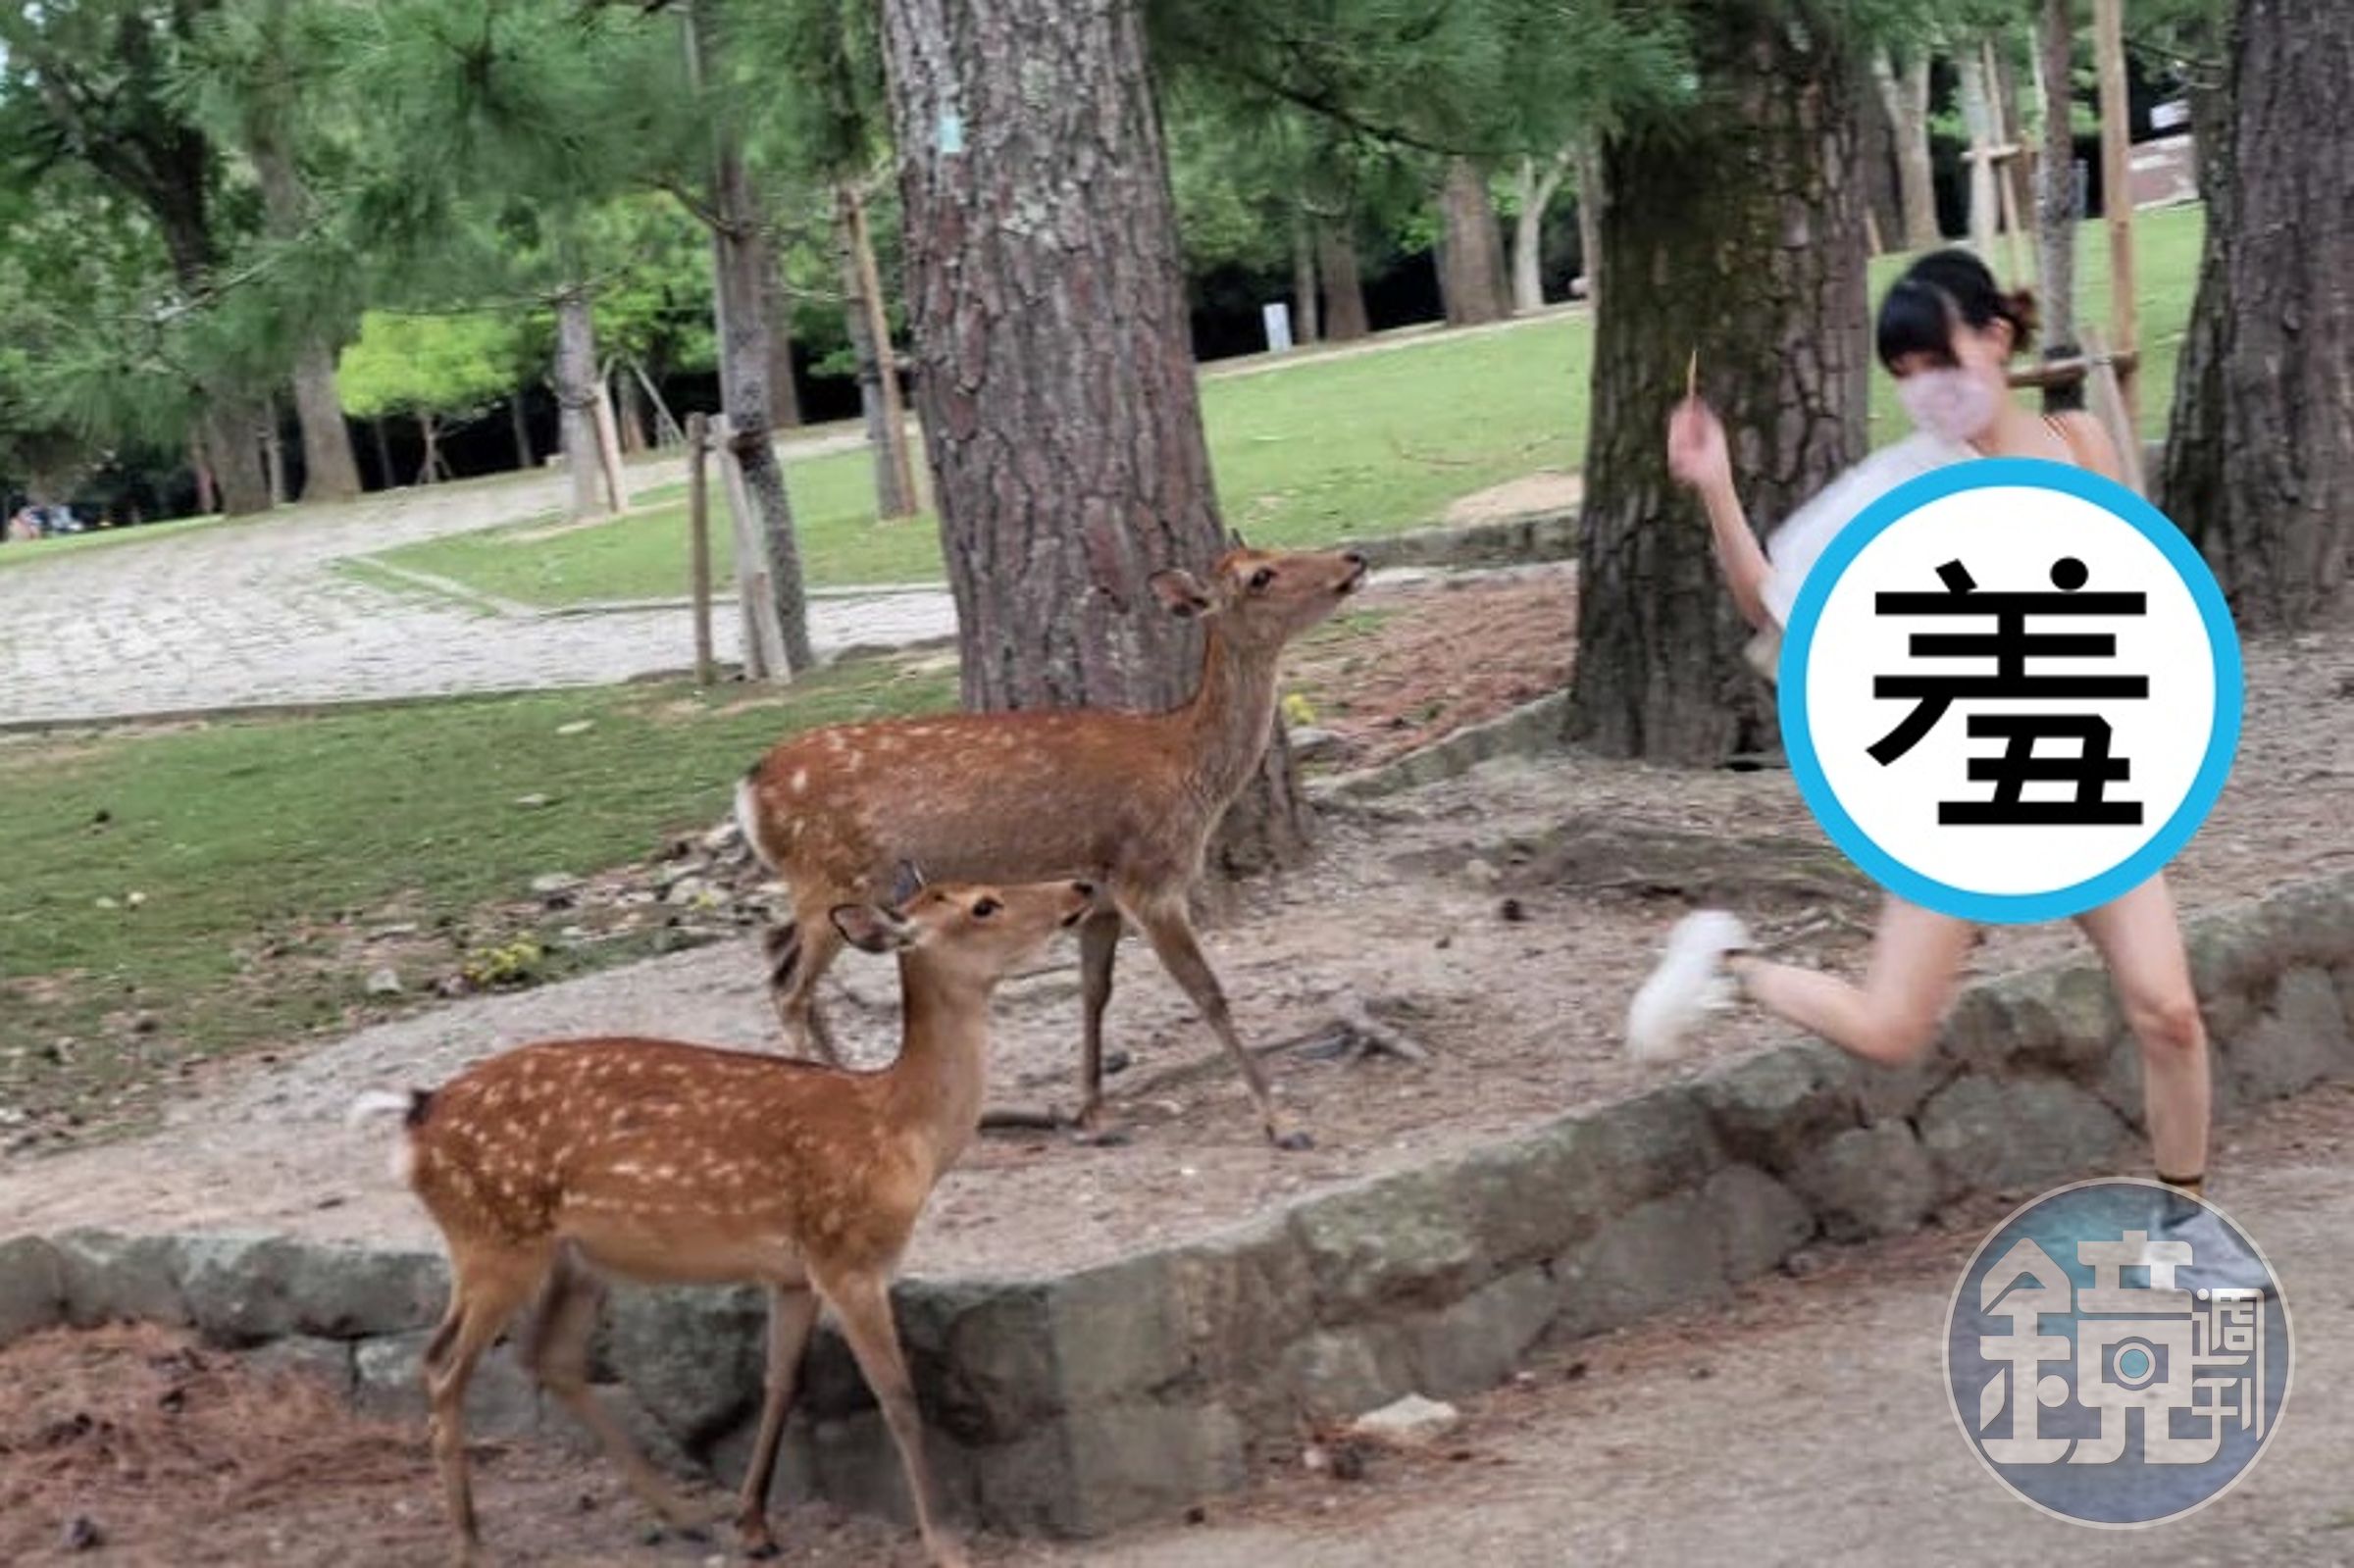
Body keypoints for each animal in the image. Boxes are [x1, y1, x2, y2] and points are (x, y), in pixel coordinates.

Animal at [347, 869, 1098, 1568]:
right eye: (983, 904)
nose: (1081, 886)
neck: (899, 1130)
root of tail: (416, 1117)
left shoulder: (793, 1273)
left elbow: (779, 1383)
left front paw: (754, 1524)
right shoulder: (847, 1253)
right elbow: (898, 1397)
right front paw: (945, 1543)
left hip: (572, 1257)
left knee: (548, 1358)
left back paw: (682, 1513)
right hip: (494, 1239)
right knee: (442, 1364)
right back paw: (471, 1542)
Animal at [733, 542, 1370, 1152]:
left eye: (1272, 549)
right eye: (1261, 576)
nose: (1353, 558)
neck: (1187, 770)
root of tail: (751, 789)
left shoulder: (1101, 897)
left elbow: (1095, 993)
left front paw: (1094, 1115)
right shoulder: (1148, 877)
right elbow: (1207, 991)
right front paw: (1282, 1123)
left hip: (830, 889)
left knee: (777, 950)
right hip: (832, 874)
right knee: (790, 989)